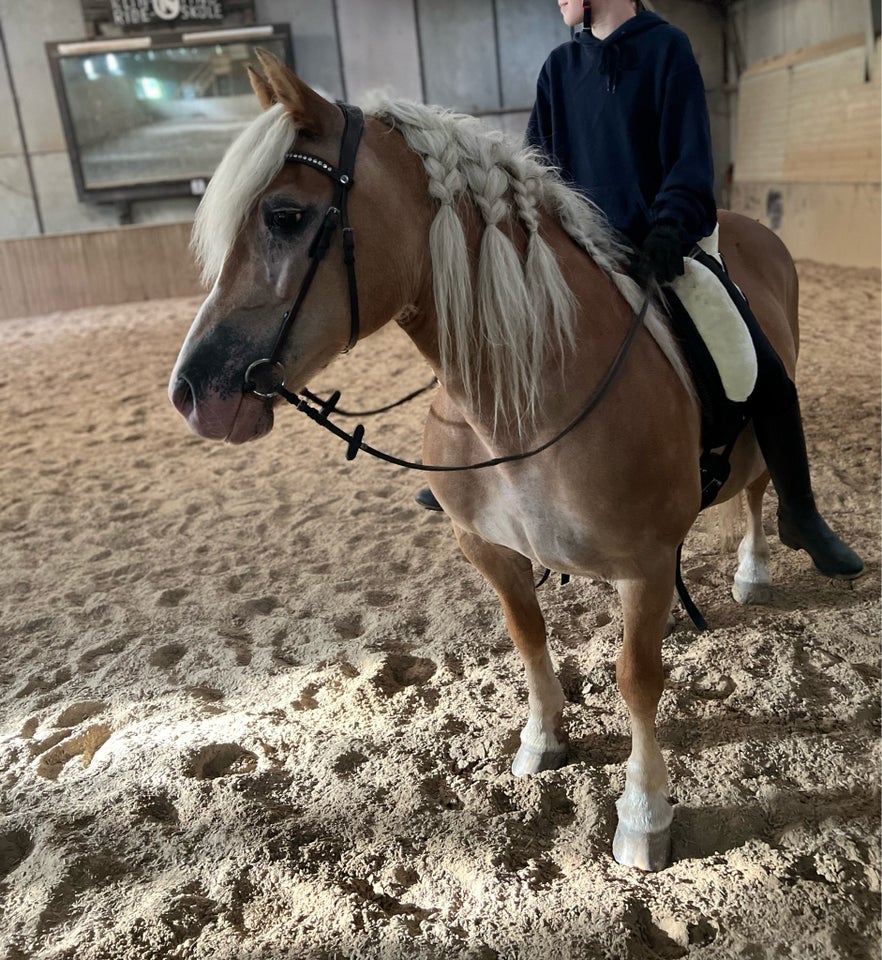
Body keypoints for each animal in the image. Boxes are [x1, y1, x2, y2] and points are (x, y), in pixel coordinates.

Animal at [170, 52, 796, 872]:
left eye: (284, 217)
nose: (191, 392)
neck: (529, 403)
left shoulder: (647, 565)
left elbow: (636, 679)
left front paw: (643, 814)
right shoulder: (489, 548)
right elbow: (527, 638)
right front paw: (542, 739)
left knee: (758, 493)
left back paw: (754, 571)